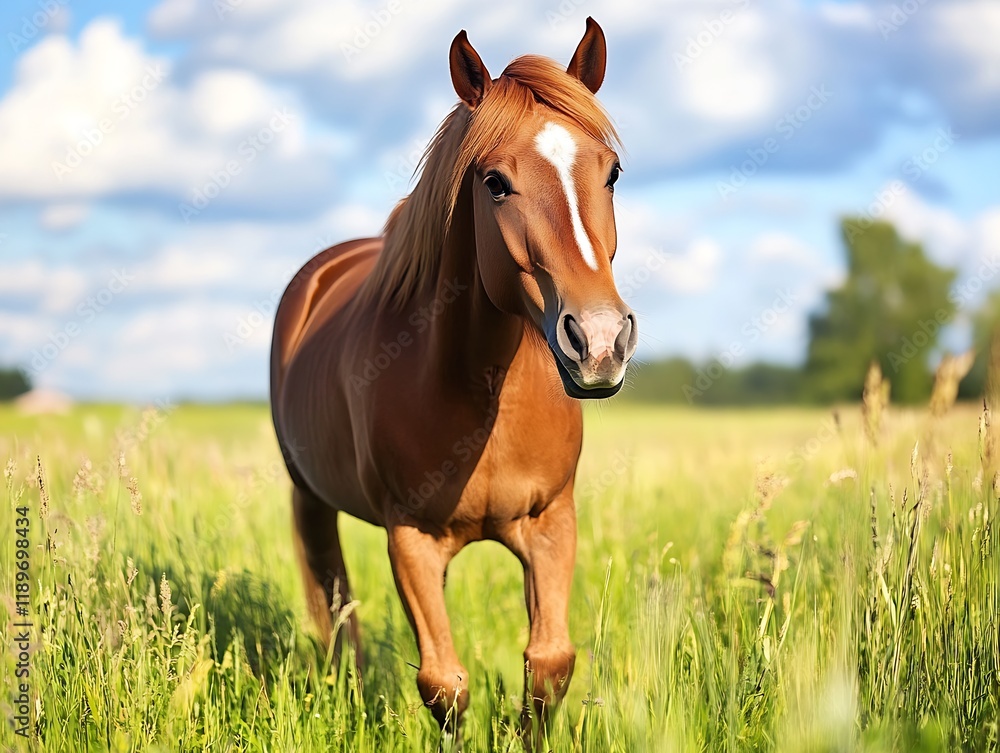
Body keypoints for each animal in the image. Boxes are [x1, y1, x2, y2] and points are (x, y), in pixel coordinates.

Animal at [269, 16, 637, 742]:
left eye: (610, 173)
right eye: (494, 181)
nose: (600, 341)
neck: (481, 390)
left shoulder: (550, 522)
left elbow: (548, 664)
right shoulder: (410, 539)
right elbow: (443, 684)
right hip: (312, 499)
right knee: (338, 612)